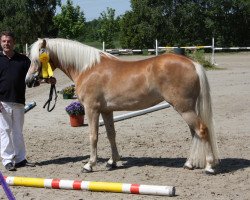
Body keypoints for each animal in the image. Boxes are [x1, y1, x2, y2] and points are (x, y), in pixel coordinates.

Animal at [25, 38, 219, 174]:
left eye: (36, 60)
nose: (28, 81)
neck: (87, 68)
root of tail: (193, 63)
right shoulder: (106, 111)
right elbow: (111, 135)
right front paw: (113, 161)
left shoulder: (91, 109)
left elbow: (93, 136)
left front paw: (89, 164)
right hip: (187, 108)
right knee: (194, 133)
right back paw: (189, 164)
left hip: (184, 108)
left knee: (202, 130)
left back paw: (209, 166)